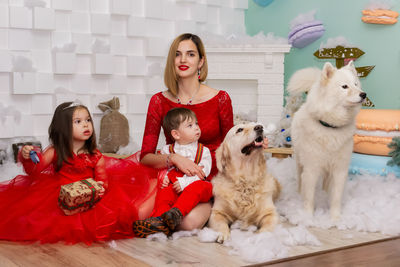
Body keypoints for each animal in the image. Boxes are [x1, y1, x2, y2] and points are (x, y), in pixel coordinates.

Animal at [288, 61, 366, 221]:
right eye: (344, 86)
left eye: (356, 84)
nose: (363, 94)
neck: (331, 127)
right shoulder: (311, 169)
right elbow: (309, 197)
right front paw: (308, 217)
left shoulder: (339, 169)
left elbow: (336, 197)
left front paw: (335, 218)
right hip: (299, 160)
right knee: (300, 178)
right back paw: (299, 192)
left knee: (325, 182)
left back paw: (324, 192)